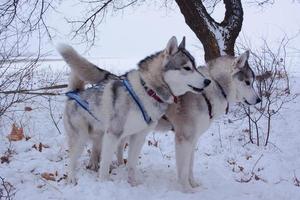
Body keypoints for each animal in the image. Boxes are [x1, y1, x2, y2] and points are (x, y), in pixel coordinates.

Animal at [58, 36, 211, 184]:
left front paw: (133, 183)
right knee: (72, 159)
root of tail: (74, 93)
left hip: (100, 135)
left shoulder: (138, 136)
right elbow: (105, 164)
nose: (207, 81)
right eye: (187, 68)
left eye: (195, 66)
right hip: (80, 138)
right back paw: (71, 178)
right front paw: (104, 182)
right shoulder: (113, 134)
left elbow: (132, 164)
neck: (148, 90)